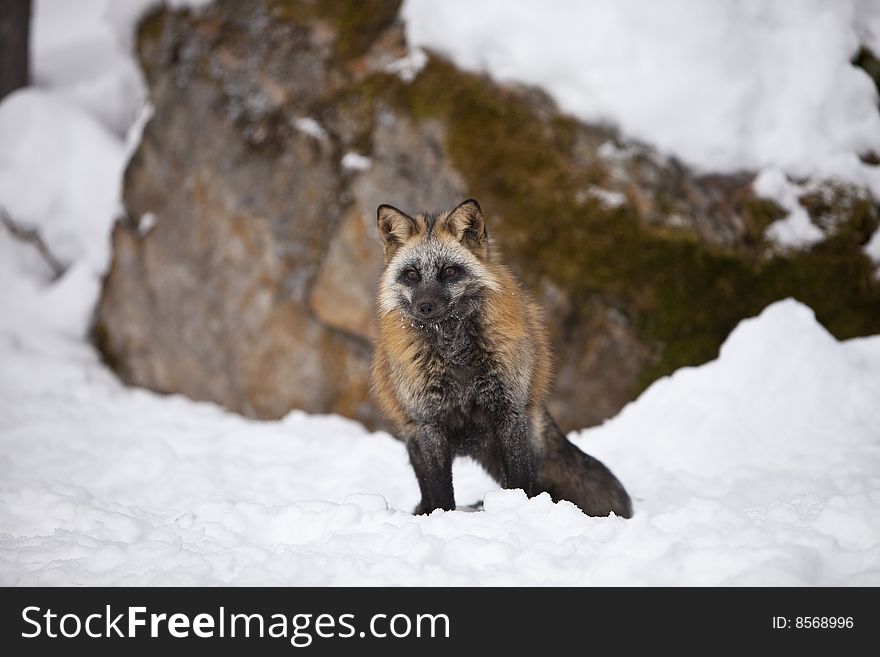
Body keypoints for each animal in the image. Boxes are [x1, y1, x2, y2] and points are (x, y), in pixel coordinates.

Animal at [372, 200, 632, 516]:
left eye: (449, 271)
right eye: (411, 275)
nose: (425, 307)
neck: (454, 355)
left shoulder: (509, 412)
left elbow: (519, 482)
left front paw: (518, 510)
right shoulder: (429, 423)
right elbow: (441, 493)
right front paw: (443, 518)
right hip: (414, 441)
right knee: (427, 492)